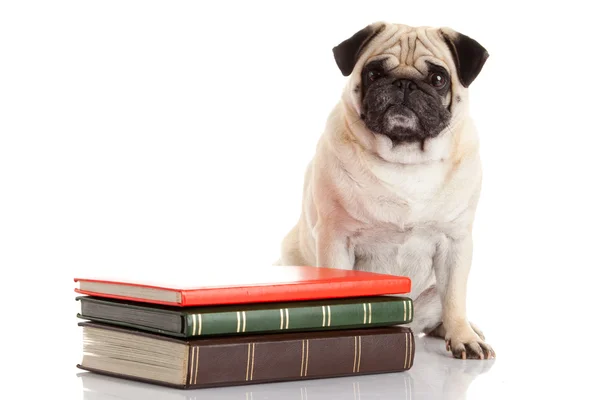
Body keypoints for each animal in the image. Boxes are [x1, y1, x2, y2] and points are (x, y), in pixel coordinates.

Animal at [276, 21, 492, 360]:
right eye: (374, 73)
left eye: (438, 79)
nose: (404, 83)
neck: (406, 161)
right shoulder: (336, 239)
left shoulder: (455, 242)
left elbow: (456, 297)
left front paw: (463, 337)